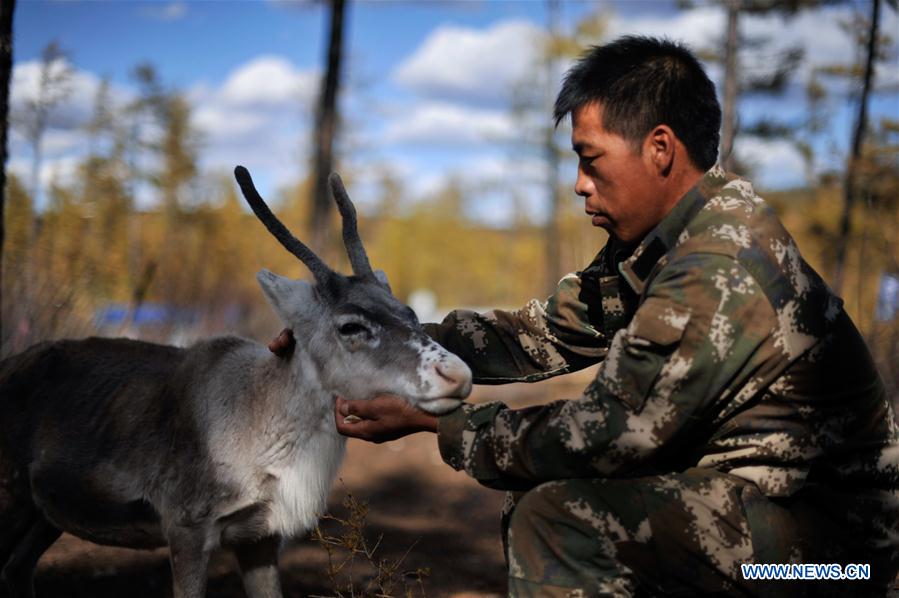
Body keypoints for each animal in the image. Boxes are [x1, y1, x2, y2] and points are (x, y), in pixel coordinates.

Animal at [0, 166, 473, 598]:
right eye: (350, 326)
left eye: (410, 312)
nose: (458, 373)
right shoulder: (186, 526)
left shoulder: (261, 537)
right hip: (14, 497)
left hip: (43, 513)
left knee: (17, 570)